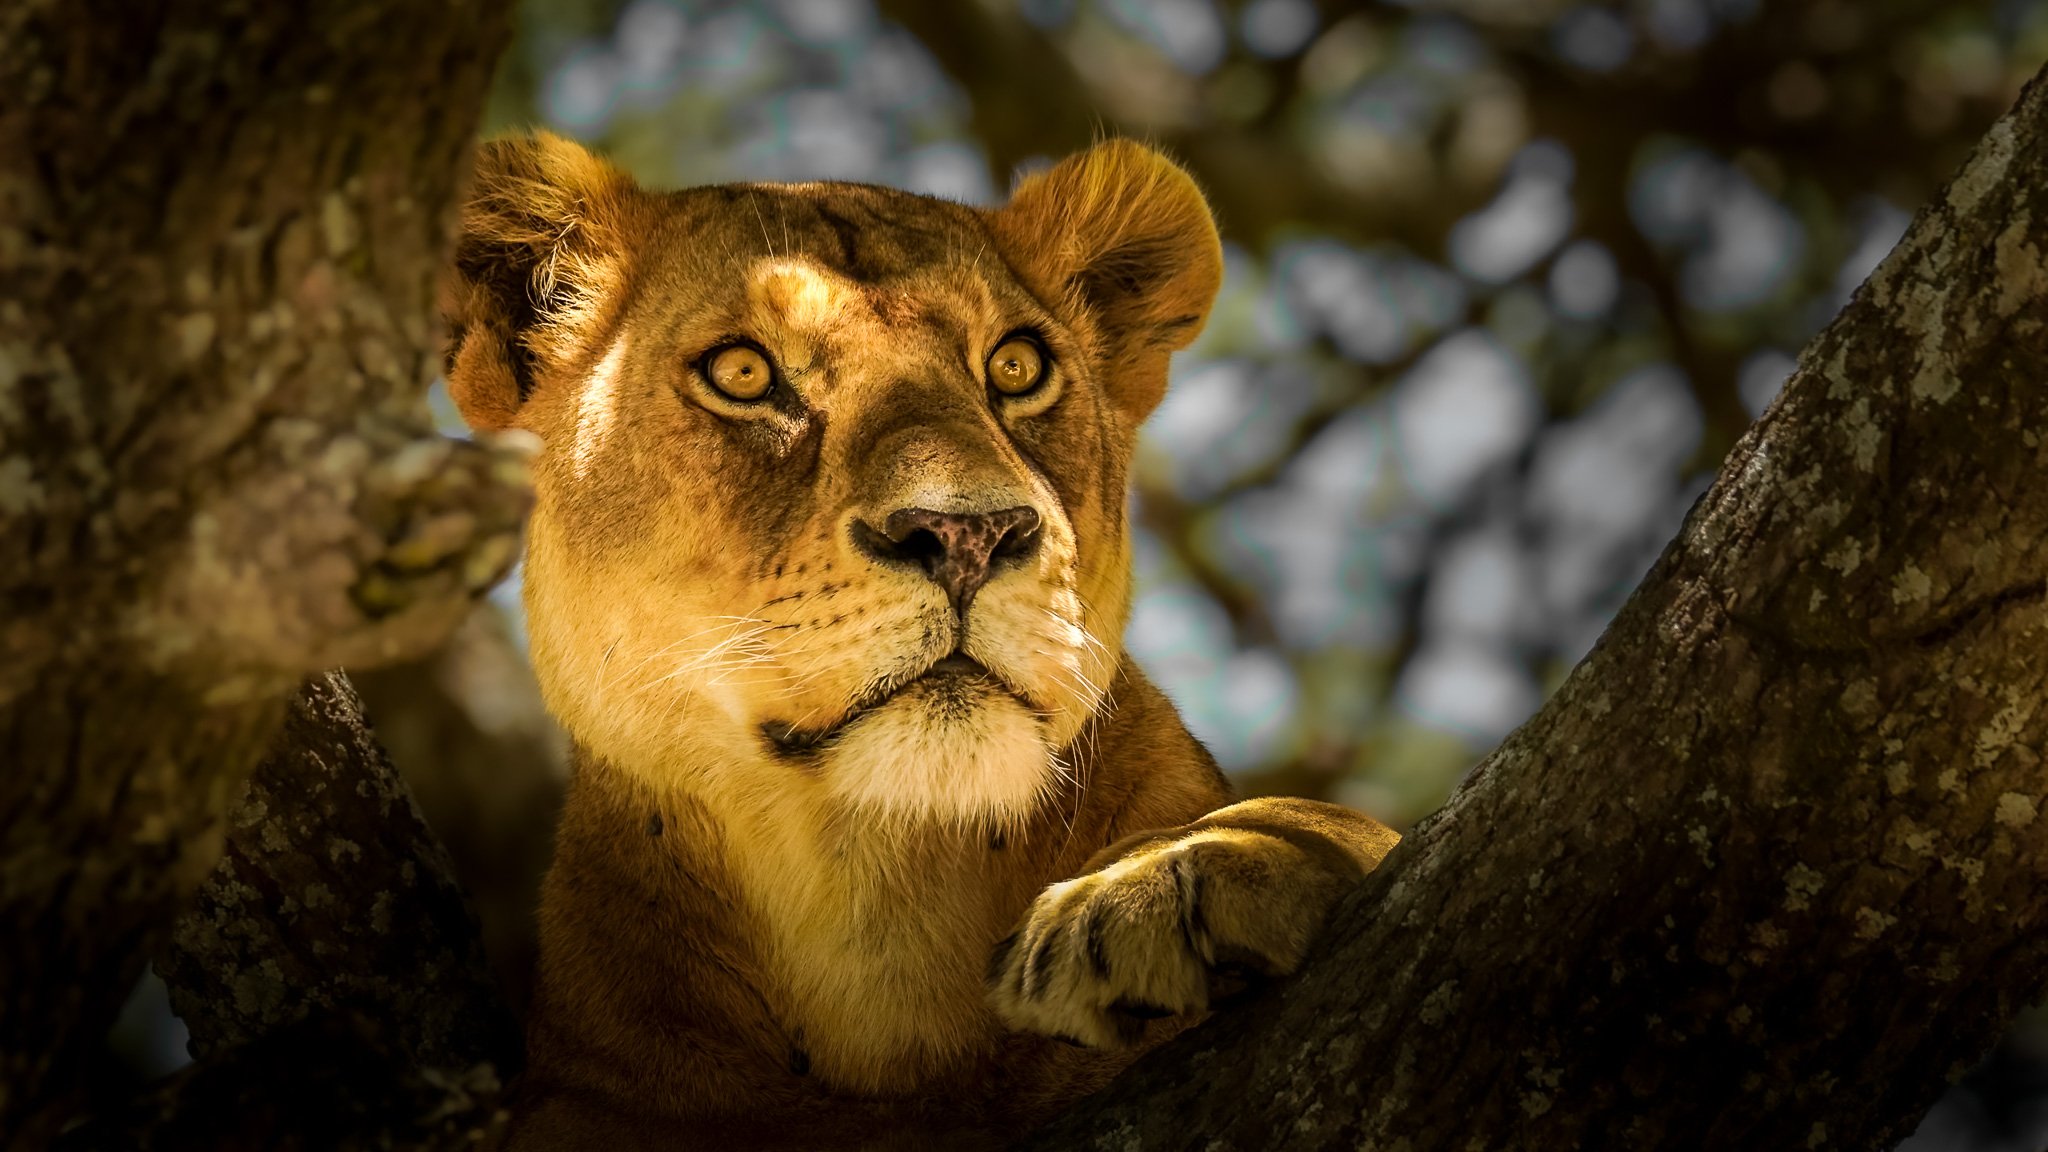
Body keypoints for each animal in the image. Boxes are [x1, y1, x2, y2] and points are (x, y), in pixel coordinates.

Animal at [441, 131, 1400, 1150]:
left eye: (1016, 367)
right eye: (742, 374)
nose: (968, 534)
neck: (878, 898)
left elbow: (1338, 826)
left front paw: (1176, 876)